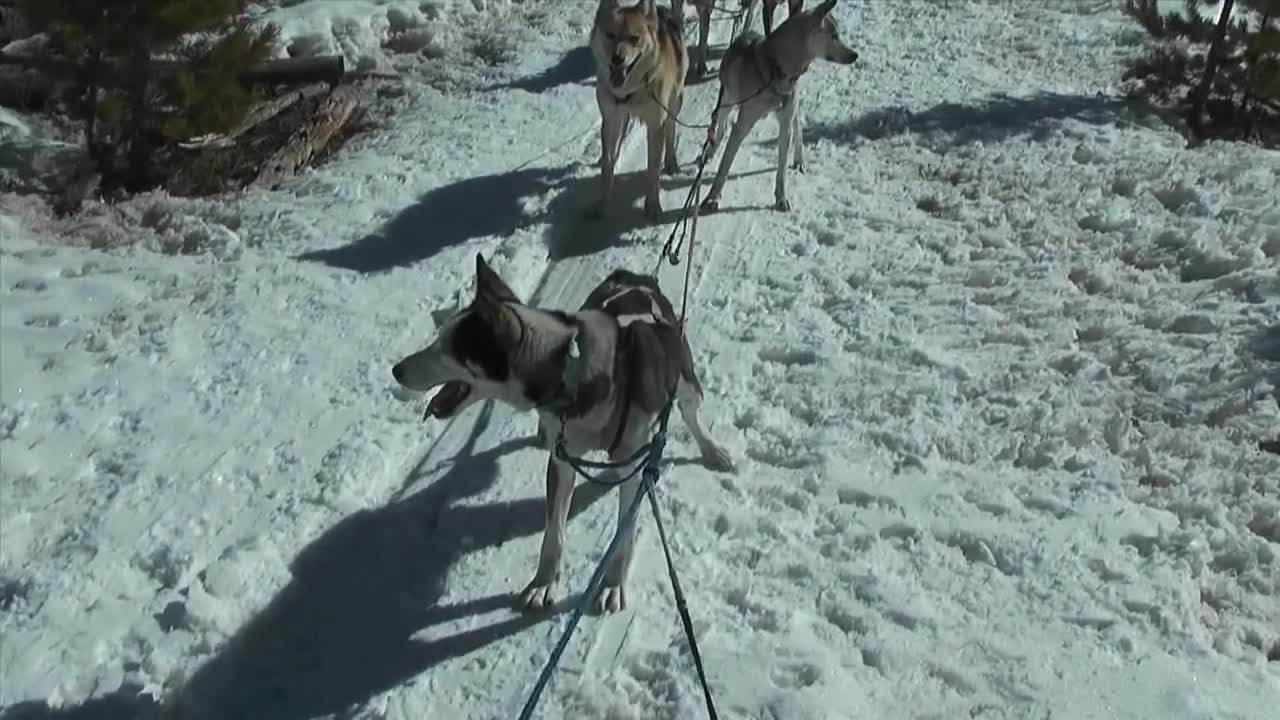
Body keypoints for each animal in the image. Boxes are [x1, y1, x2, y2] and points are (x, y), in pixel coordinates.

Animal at [389, 252, 737, 609]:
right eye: (438, 339)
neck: (571, 372)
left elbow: (623, 533)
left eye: (449, 349)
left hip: (685, 379)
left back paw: (713, 450)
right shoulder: (562, 462)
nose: (396, 370)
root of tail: (635, 277)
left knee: (691, 412)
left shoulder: (630, 464)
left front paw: (613, 584)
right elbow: (553, 534)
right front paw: (543, 583)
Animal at [588, 0, 691, 221]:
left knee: (671, 131)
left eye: (634, 38)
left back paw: (671, 161)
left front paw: (652, 206)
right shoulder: (611, 119)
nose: (617, 58)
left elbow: (653, 170)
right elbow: (607, 165)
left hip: (674, 101)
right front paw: (601, 204)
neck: (631, 90)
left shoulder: (655, 124)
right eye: (610, 35)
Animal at [696, 0, 855, 212]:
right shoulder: (742, 126)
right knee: (720, 129)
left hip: (790, 109)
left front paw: (781, 198)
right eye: (835, 36)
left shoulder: (785, 122)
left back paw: (799, 160)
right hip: (726, 103)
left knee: (797, 127)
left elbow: (782, 168)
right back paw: (710, 152)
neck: (777, 68)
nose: (855, 55)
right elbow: (724, 165)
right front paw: (712, 197)